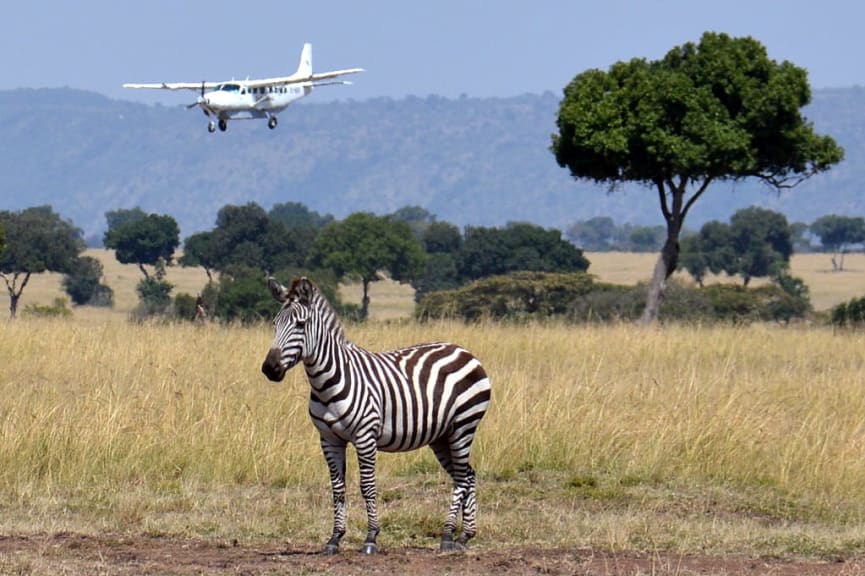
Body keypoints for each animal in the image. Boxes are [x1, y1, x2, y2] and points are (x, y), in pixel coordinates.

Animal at [260, 276, 490, 556]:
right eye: (275, 324)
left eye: (300, 325)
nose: (270, 369)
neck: (327, 381)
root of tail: (464, 350)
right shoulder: (329, 440)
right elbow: (338, 489)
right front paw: (334, 538)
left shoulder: (365, 436)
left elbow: (367, 486)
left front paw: (371, 538)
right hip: (441, 436)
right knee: (467, 474)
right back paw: (465, 536)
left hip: (463, 426)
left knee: (461, 479)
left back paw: (447, 536)